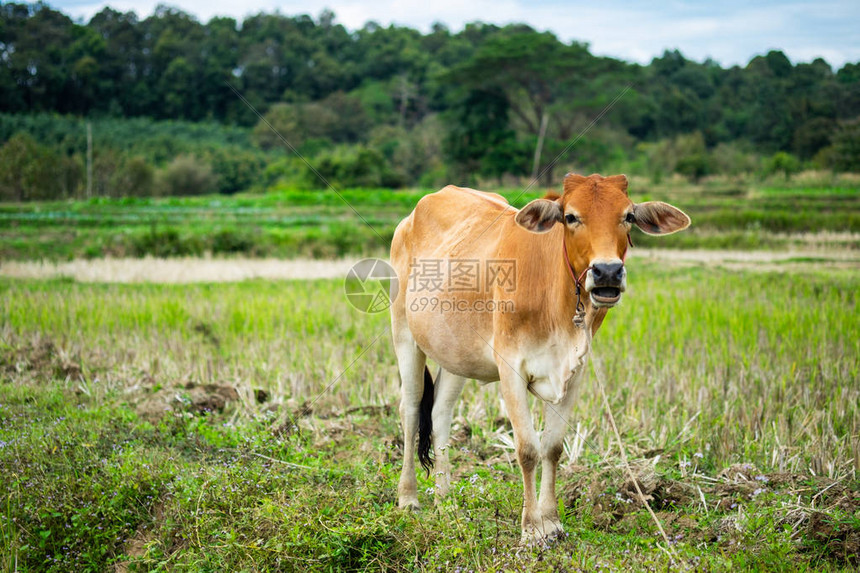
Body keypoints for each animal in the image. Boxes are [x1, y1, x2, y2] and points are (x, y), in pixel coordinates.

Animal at [392, 173, 692, 540]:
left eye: (629, 216)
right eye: (571, 216)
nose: (607, 272)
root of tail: (411, 217)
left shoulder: (574, 373)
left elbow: (552, 447)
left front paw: (552, 522)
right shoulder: (510, 369)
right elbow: (527, 449)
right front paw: (532, 528)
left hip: (456, 355)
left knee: (439, 414)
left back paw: (445, 501)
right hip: (404, 335)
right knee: (410, 410)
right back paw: (409, 498)